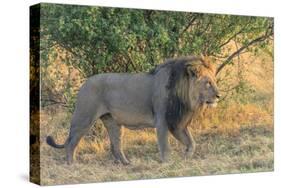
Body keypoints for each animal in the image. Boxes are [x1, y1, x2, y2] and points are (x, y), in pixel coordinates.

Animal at [47, 55, 220, 164]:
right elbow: (165, 146)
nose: (219, 96)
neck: (186, 97)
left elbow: (192, 143)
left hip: (113, 122)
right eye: (208, 83)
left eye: (214, 81)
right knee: (71, 143)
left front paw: (186, 157)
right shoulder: (163, 121)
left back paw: (126, 163)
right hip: (84, 117)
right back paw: (71, 164)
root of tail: (84, 83)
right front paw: (168, 163)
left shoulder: (177, 122)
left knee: (116, 146)